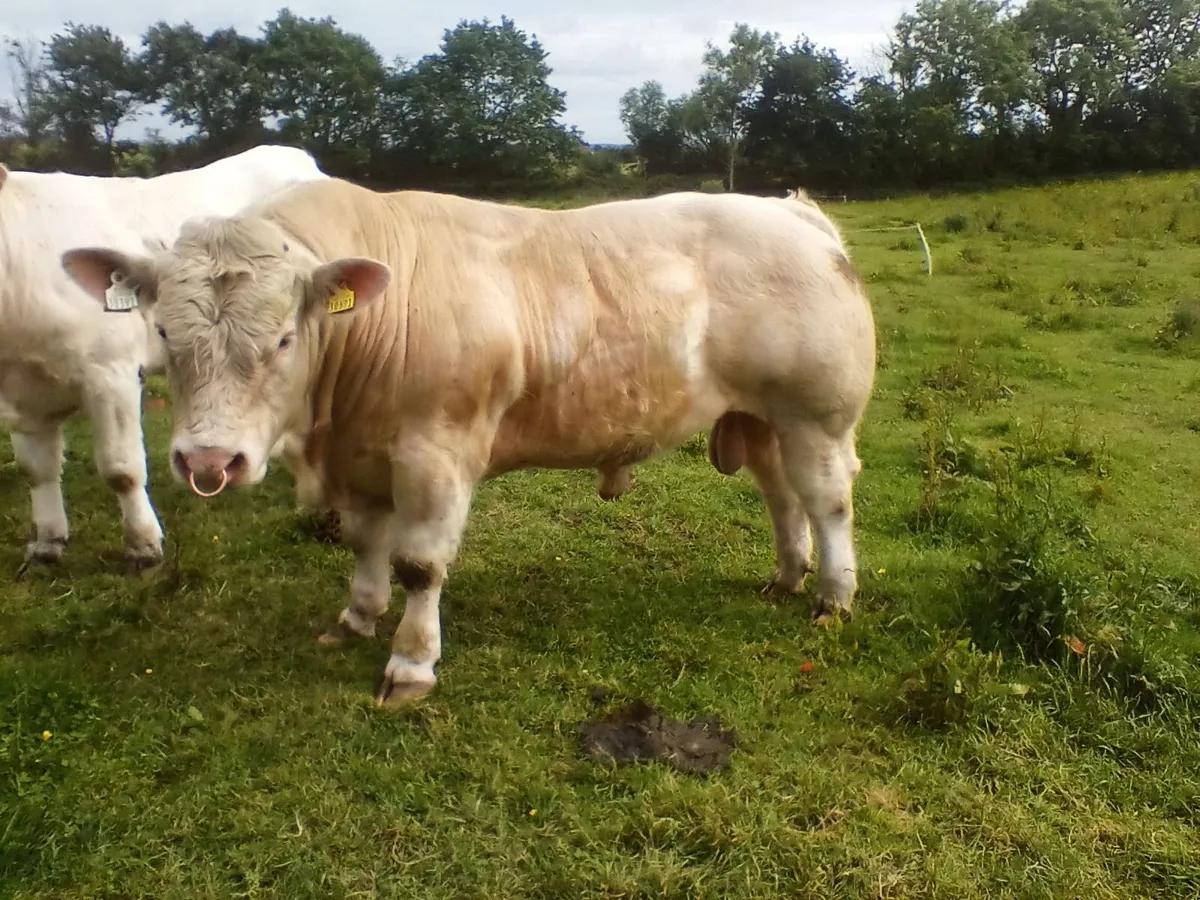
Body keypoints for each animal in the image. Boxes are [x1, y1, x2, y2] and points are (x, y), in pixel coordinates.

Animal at [0, 145, 328, 574]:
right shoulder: (24, 393)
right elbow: (36, 470)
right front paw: (45, 545)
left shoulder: (112, 373)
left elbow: (121, 470)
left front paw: (143, 547)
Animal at [60, 177, 877, 706]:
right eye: (165, 332)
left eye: (285, 337)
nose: (208, 461)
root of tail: (792, 213)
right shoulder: (363, 457)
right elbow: (366, 544)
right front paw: (357, 616)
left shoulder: (438, 454)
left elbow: (420, 564)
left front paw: (410, 663)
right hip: (764, 417)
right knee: (782, 496)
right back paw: (787, 575)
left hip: (817, 414)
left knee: (827, 499)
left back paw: (832, 595)